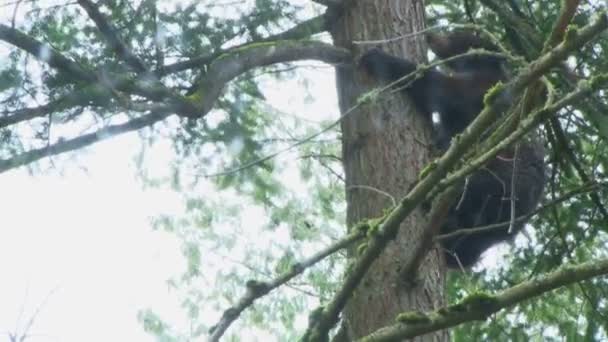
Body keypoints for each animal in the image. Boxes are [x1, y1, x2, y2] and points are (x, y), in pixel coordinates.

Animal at [360, 30, 548, 268]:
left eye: (454, 36)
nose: (430, 35)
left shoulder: (479, 89)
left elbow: (438, 88)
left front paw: (379, 57)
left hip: (503, 175)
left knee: (467, 188)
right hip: (496, 222)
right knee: (470, 245)